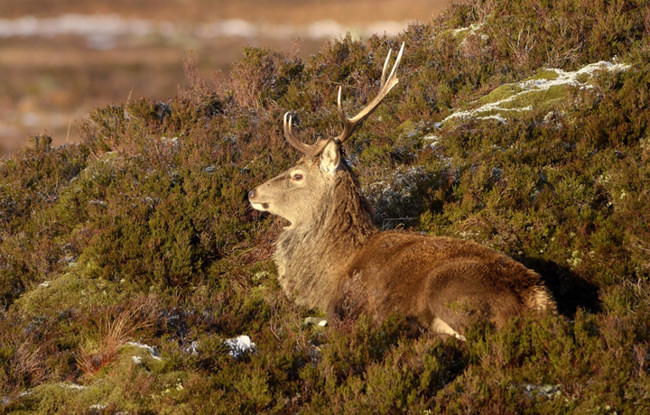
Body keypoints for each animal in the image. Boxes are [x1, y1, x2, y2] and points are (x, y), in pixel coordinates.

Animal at [248, 43, 556, 339]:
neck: (331, 272)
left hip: (448, 288)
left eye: (297, 175)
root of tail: (539, 301)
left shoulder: (344, 306)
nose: (252, 193)